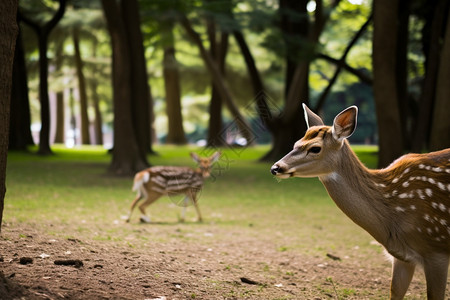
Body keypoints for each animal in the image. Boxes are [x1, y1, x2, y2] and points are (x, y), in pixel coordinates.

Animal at [270, 104, 450, 298]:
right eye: (296, 144)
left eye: (315, 148)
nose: (276, 168)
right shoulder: (403, 257)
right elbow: (395, 292)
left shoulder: (436, 250)